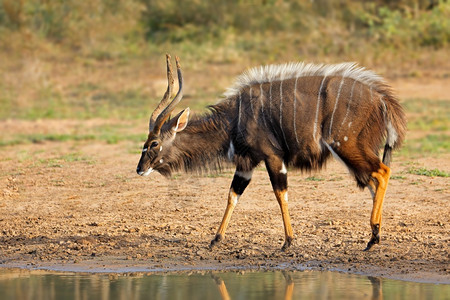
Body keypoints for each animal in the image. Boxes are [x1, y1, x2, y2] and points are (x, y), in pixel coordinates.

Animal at [135, 54, 406, 251]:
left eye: (154, 143)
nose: (139, 169)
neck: (233, 120)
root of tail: (382, 99)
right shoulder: (246, 164)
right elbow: (233, 195)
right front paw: (215, 239)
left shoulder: (272, 157)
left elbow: (280, 194)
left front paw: (288, 242)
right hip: (351, 152)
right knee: (371, 180)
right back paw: (373, 237)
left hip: (346, 145)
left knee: (382, 171)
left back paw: (373, 236)